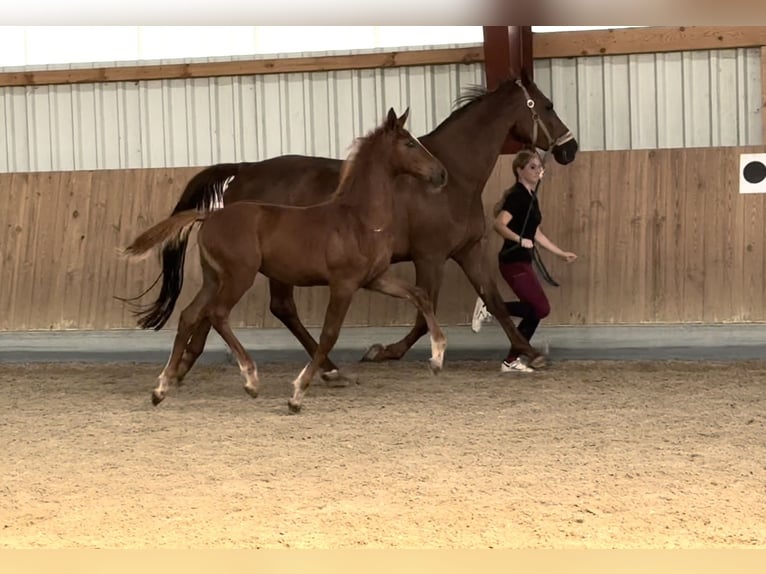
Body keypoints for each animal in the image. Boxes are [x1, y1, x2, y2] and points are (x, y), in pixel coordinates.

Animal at [123, 108, 449, 413]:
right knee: (217, 313)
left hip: (214, 278)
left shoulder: (375, 279)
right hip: (240, 275)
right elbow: (329, 334)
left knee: (190, 315)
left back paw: (161, 388)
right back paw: (250, 379)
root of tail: (210, 215)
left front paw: (437, 358)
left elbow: (419, 295)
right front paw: (297, 395)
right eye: (409, 143)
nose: (442, 173)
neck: (359, 219)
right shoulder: (343, 284)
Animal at [125, 71, 578, 382]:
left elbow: (494, 300)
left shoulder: (465, 251)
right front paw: (387, 352)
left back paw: (189, 363)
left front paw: (528, 352)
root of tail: (244, 172)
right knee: (273, 308)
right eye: (548, 105)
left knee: (220, 309)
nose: (570, 148)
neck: (453, 177)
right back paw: (322, 367)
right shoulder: (430, 256)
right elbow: (423, 312)